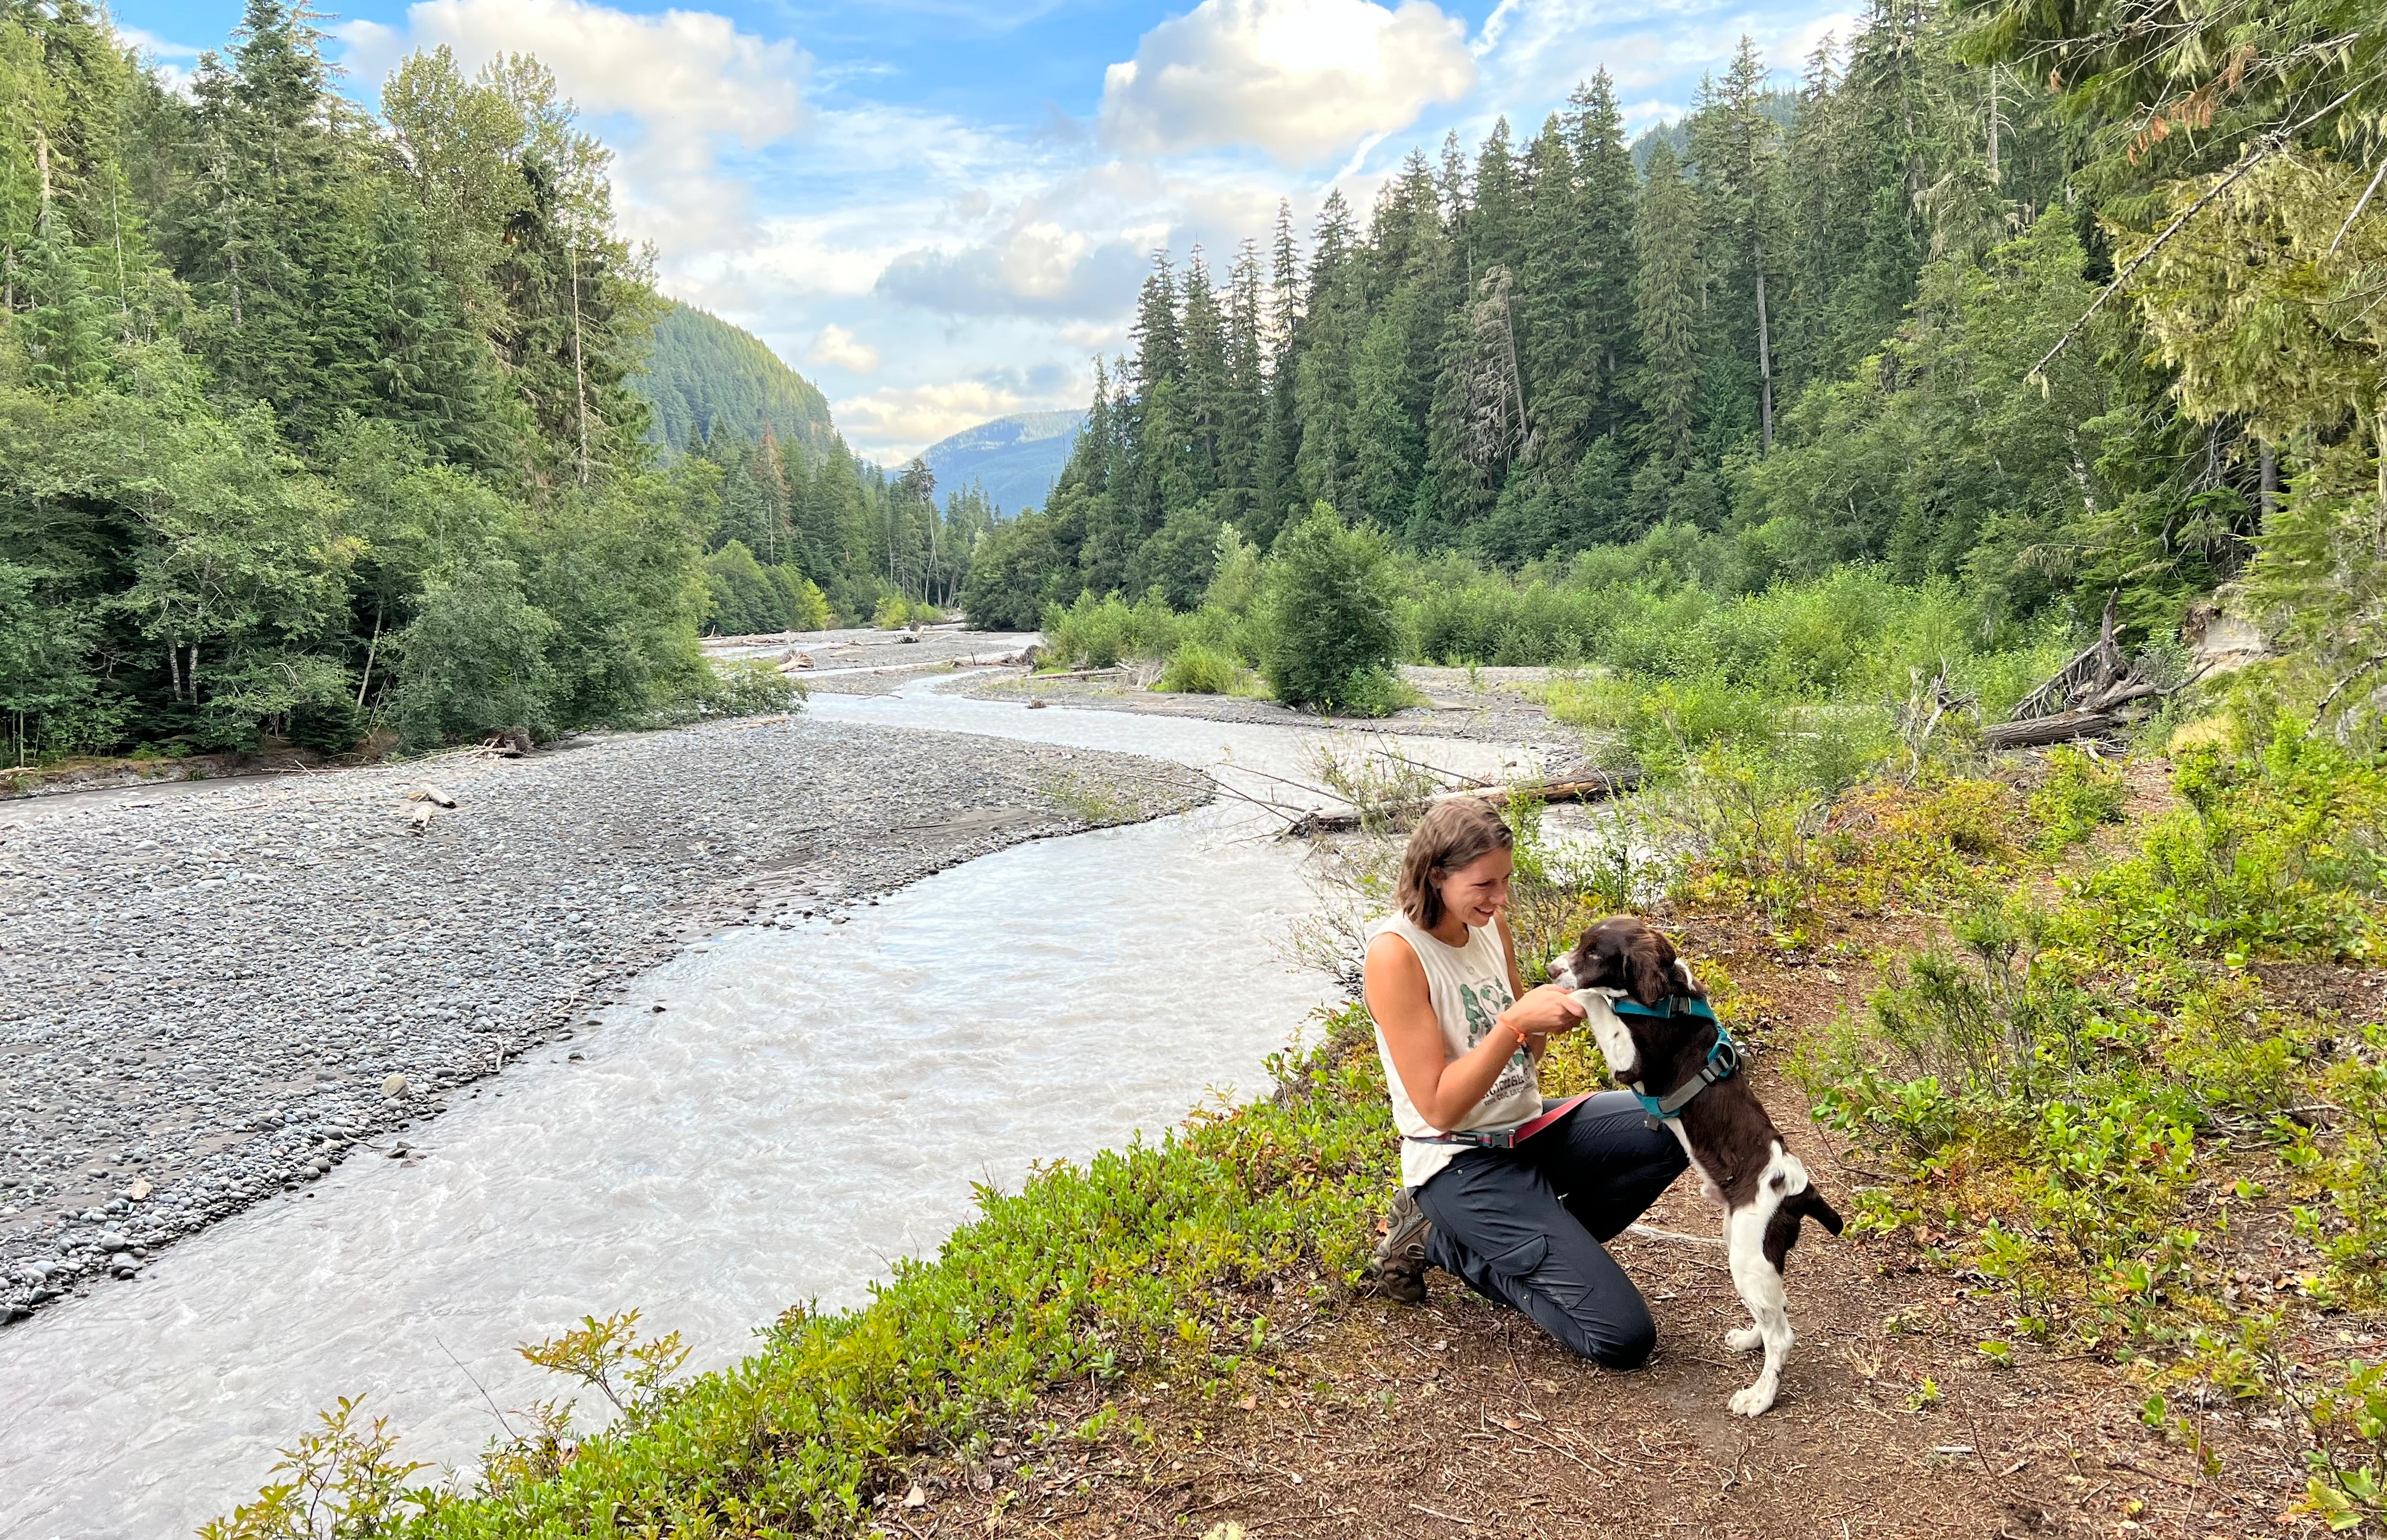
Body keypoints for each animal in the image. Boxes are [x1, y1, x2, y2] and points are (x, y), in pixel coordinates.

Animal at [1546, 912, 1843, 1413]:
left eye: (1594, 953)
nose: (1550, 970)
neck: (1668, 998)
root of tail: (1799, 1190)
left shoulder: (1630, 1059)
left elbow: (1596, 1002)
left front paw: (1578, 995)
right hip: (1744, 1245)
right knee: (1773, 1316)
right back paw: (1749, 1338)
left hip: (1749, 1253)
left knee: (1782, 1337)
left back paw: (1759, 1397)